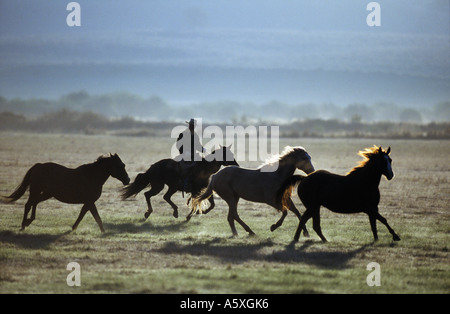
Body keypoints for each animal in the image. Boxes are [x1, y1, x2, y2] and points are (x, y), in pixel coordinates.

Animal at [2, 153, 130, 232]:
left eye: (123, 165)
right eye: (120, 165)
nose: (128, 180)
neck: (92, 177)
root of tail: (39, 166)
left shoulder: (88, 202)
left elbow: (84, 215)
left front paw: (74, 228)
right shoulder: (90, 201)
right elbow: (96, 217)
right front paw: (103, 232)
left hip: (47, 193)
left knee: (35, 202)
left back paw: (29, 221)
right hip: (36, 190)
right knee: (29, 204)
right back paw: (23, 225)